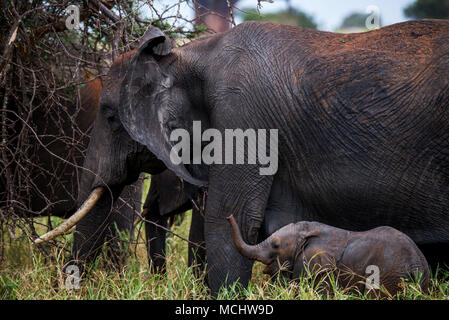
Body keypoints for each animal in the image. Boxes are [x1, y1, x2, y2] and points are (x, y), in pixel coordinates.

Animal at [228, 215, 430, 296]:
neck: (311, 231)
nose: (228, 215)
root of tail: (416, 264)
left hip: (388, 276)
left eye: (276, 245)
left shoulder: (324, 271)